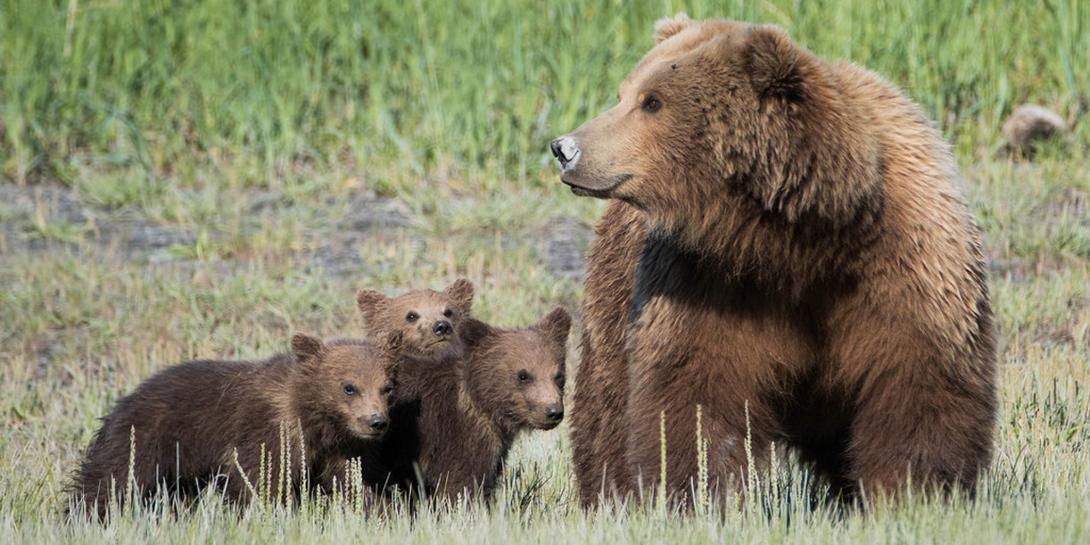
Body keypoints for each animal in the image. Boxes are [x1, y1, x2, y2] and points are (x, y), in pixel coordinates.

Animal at [553, 13, 998, 505]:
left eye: (652, 101)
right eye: (624, 94)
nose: (564, 147)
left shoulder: (902, 266)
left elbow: (917, 388)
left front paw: (911, 493)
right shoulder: (708, 283)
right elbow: (695, 393)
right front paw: (698, 494)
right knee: (608, 405)